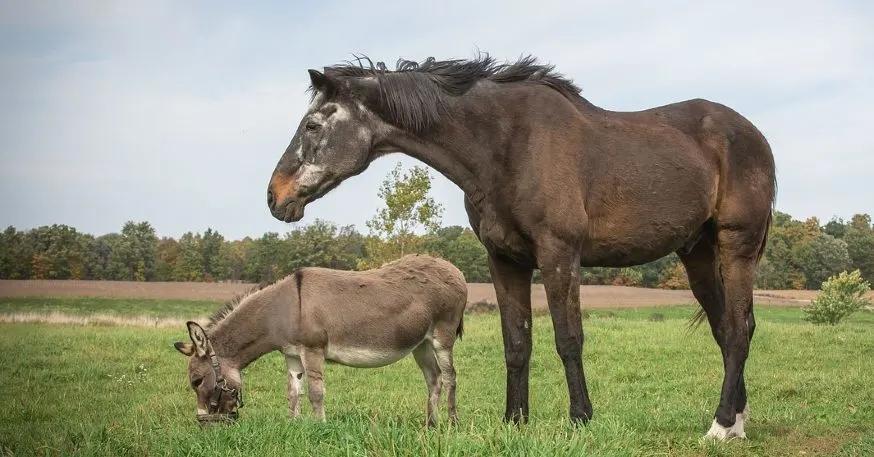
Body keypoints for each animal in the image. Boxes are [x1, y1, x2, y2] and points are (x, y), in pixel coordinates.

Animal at [173, 255, 466, 426]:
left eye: (196, 381)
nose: (203, 425)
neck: (281, 310)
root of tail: (454, 269)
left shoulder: (311, 350)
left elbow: (315, 392)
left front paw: (319, 426)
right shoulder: (292, 354)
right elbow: (293, 392)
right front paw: (293, 425)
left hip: (442, 336)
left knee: (450, 376)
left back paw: (452, 423)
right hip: (421, 344)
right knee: (434, 379)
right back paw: (430, 425)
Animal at [264, 55, 768, 440]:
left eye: (312, 125)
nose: (274, 196)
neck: (507, 144)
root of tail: (752, 133)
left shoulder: (559, 255)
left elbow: (568, 338)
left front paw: (580, 419)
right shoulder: (505, 260)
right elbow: (517, 342)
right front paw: (514, 420)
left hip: (736, 247)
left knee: (739, 330)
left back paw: (719, 426)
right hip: (697, 252)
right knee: (726, 329)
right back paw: (737, 422)